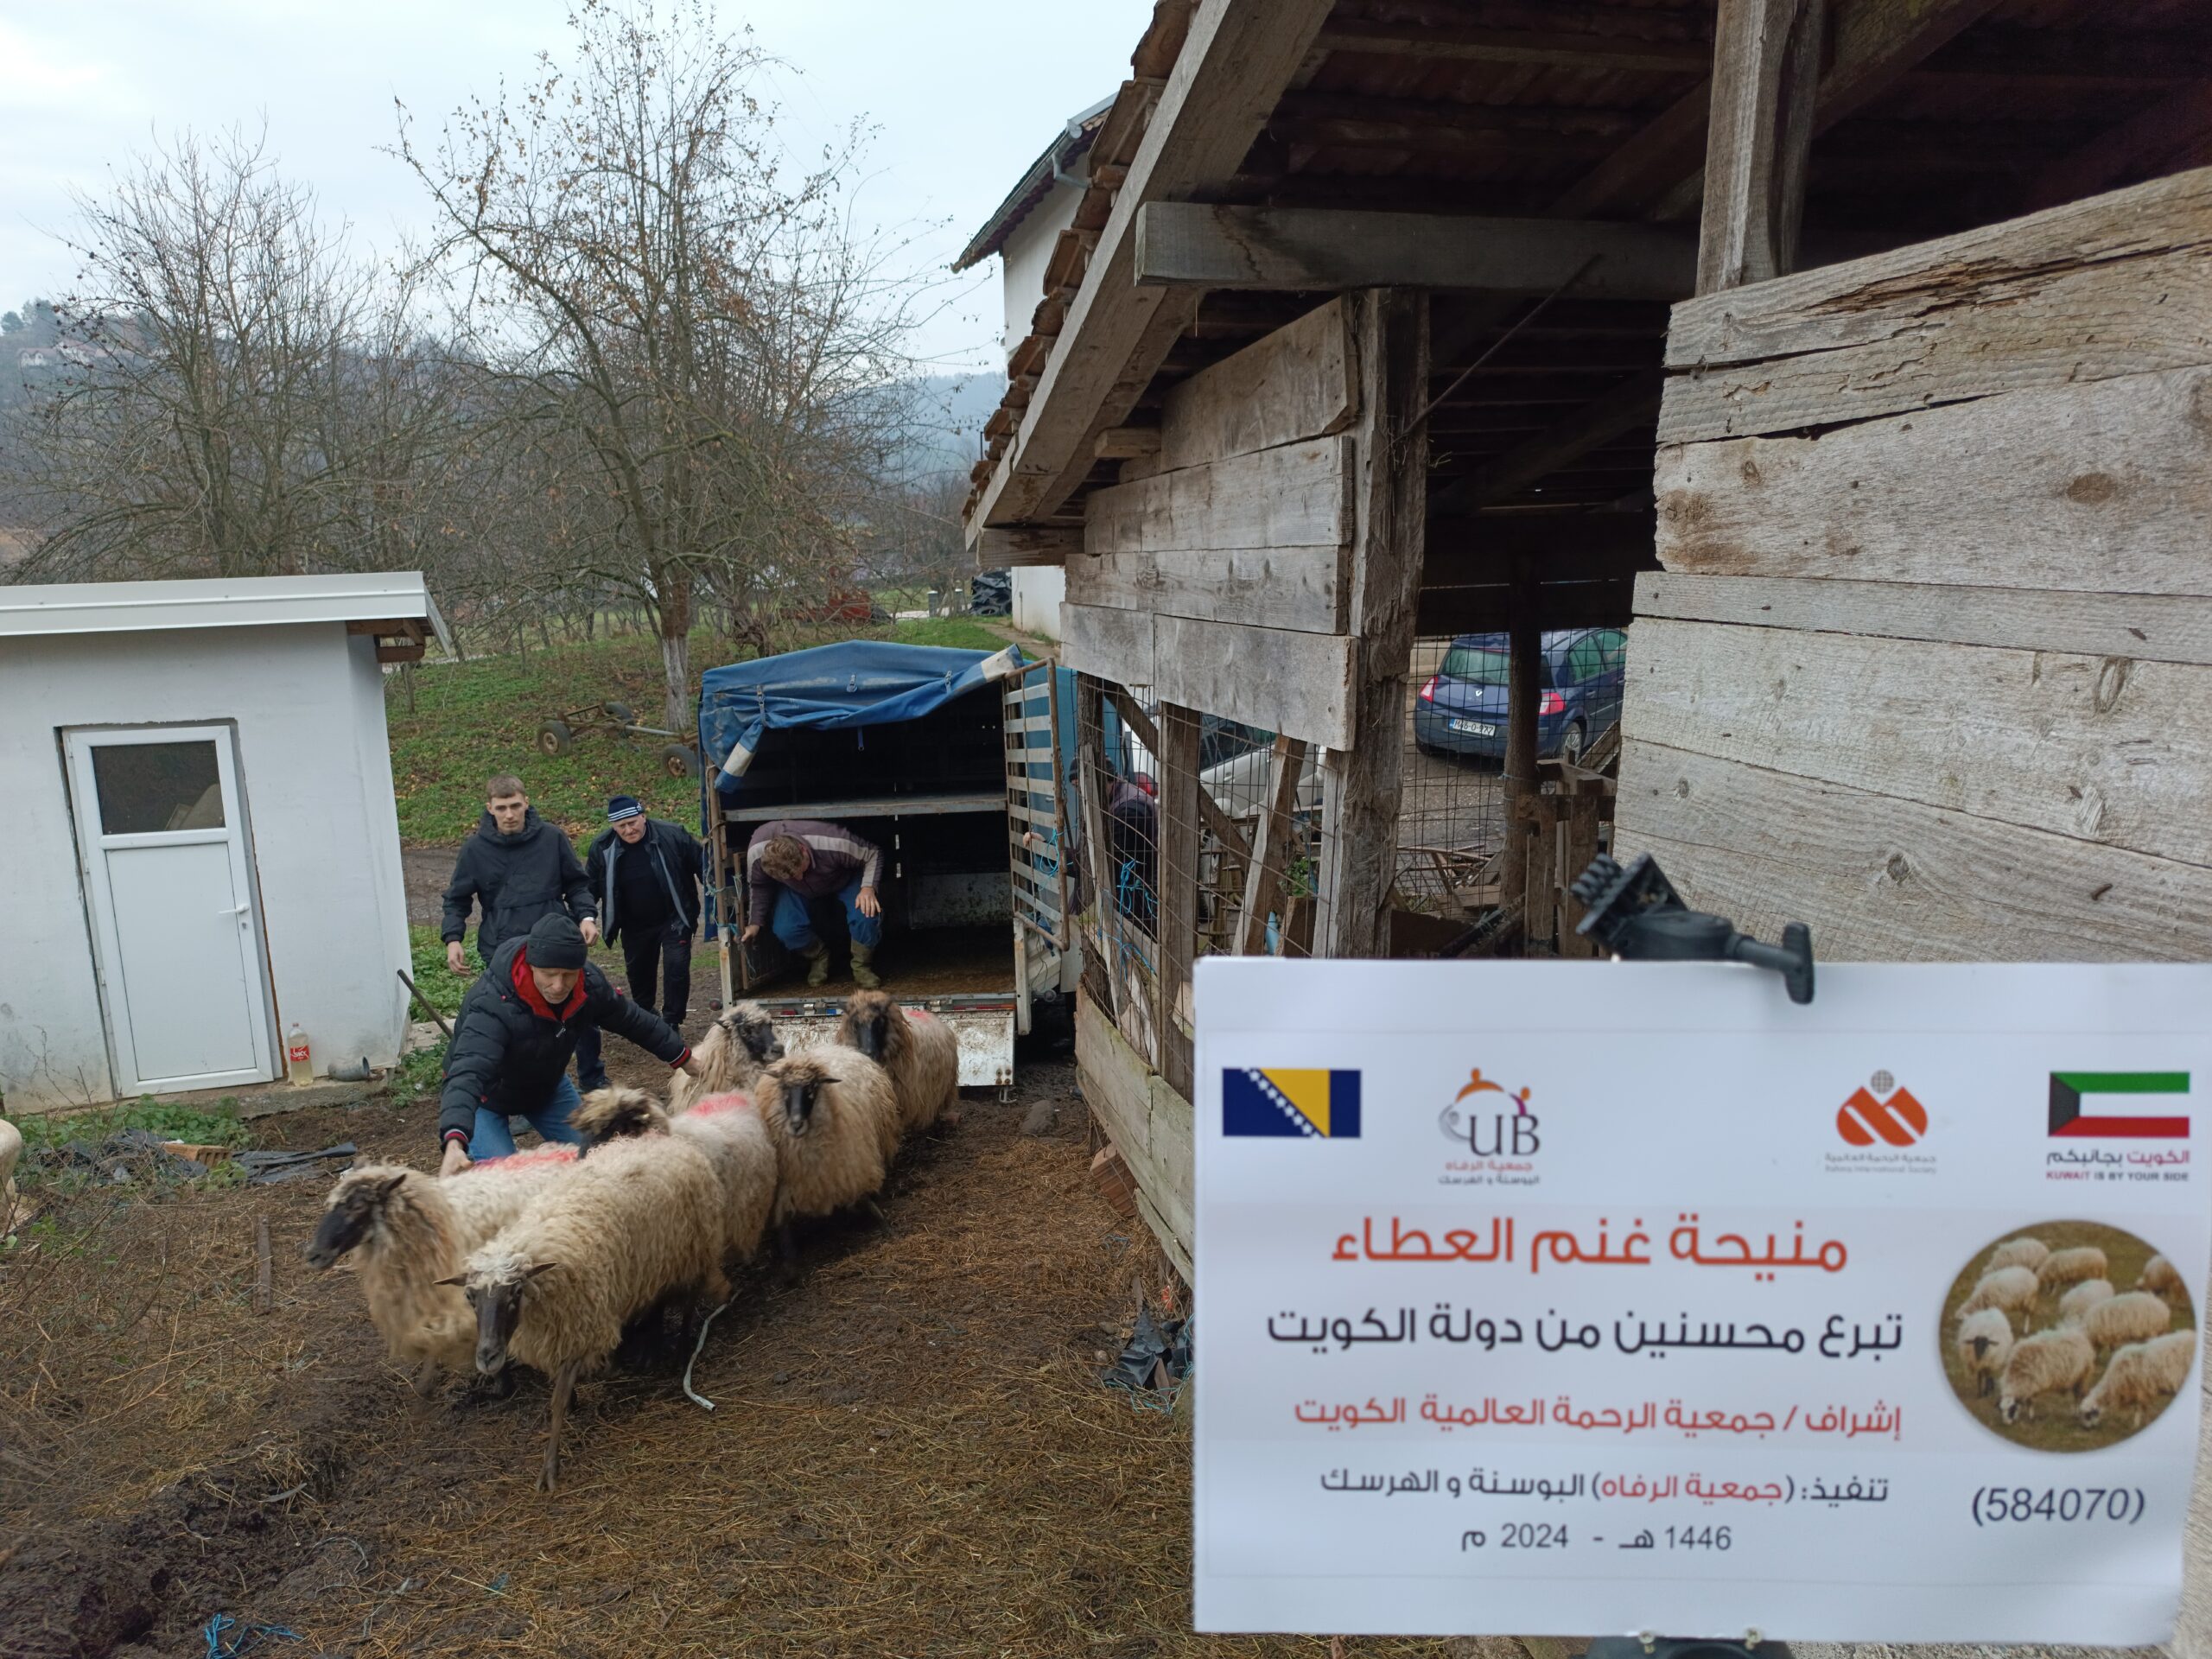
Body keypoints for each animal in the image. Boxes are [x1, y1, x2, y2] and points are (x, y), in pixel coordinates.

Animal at [453, 1131, 730, 1491]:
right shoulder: (557, 1332)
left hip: (692, 1248)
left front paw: (550, 1467)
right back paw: (650, 1347)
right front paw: (574, 1404)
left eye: (515, 1292)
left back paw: (682, 1348)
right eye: (470, 1297)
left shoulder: (580, 1326)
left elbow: (558, 1400)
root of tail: (667, 1141)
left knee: (688, 1301)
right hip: (652, 1263)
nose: (487, 1356)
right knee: (656, 1303)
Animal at [757, 1047, 901, 1269]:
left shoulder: (852, 1163)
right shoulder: (785, 1185)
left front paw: (885, 1225)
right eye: (784, 1087)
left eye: (812, 1088)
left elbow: (864, 1197)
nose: (796, 1124)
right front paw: (790, 1262)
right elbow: (783, 1223)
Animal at [2078, 1331, 2197, 1430]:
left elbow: (2141, 1408)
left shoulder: (2142, 1388)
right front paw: (2138, 1423)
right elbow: (2139, 1407)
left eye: (2088, 1415)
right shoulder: (2138, 1390)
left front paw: (2138, 1424)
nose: (2086, 1429)